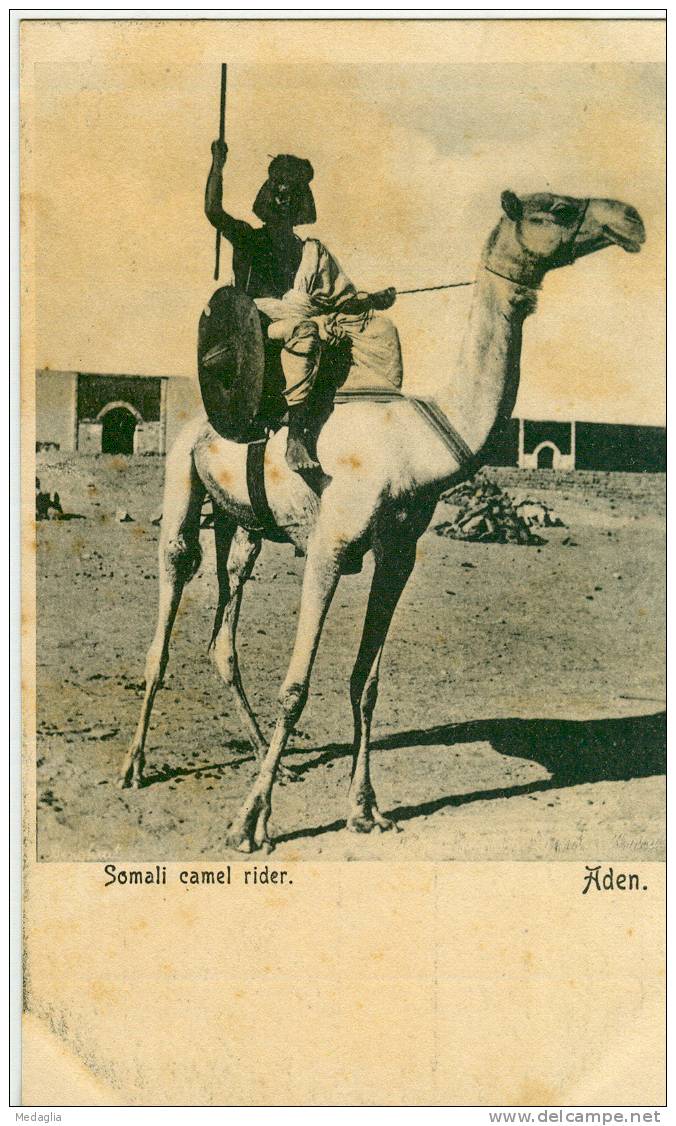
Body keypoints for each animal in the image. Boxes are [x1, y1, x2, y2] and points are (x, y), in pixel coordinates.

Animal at [119, 186, 644, 851]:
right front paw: (249, 822)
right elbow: (295, 687)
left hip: (245, 526)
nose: (631, 220)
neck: (415, 443)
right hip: (182, 482)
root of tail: (197, 421)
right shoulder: (331, 545)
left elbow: (365, 684)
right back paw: (136, 766)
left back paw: (270, 755)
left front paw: (365, 810)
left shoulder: (399, 551)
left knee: (224, 628)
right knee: (166, 612)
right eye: (556, 207)